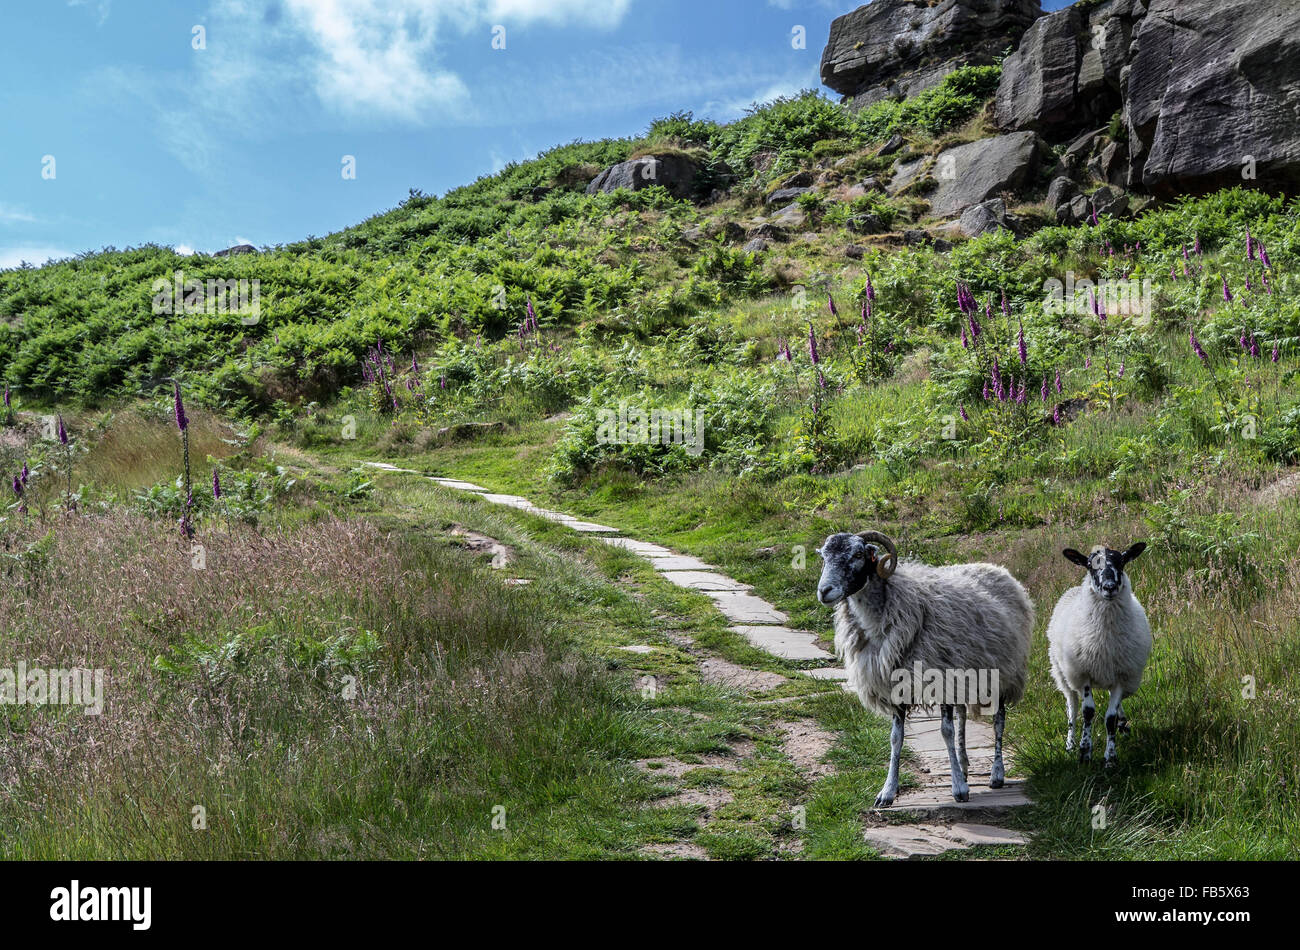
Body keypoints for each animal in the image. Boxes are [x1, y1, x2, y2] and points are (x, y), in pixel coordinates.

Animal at [811, 530, 1034, 805]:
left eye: (858, 554)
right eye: (824, 556)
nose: (824, 591)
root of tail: (996, 568)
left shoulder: (942, 676)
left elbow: (946, 731)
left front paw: (959, 789)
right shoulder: (894, 685)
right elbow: (896, 738)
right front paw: (887, 791)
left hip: (1004, 671)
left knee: (998, 721)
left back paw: (996, 773)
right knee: (963, 714)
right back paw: (964, 765)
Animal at [1040, 543, 1154, 764]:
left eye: (1122, 562)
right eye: (1089, 566)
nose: (1109, 587)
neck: (1105, 639)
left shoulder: (1121, 675)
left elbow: (1110, 718)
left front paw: (1110, 758)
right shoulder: (1083, 674)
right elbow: (1088, 712)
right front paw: (1084, 752)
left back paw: (1123, 725)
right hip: (1062, 673)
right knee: (1072, 708)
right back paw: (1070, 743)